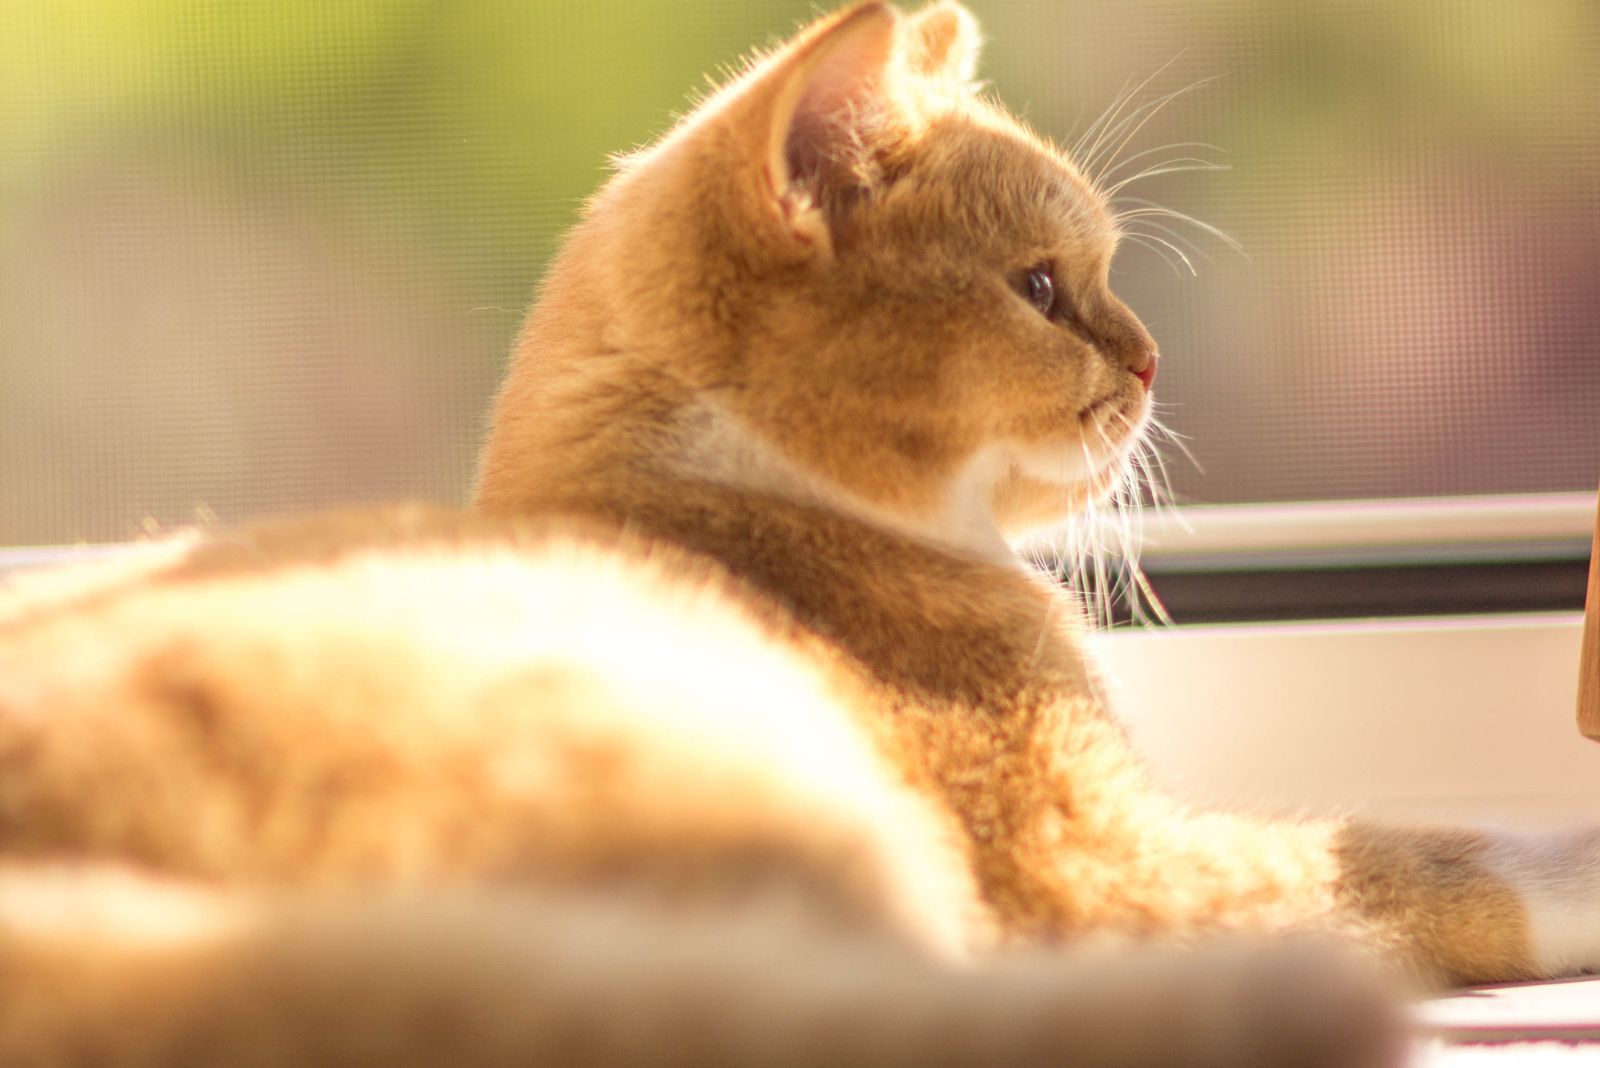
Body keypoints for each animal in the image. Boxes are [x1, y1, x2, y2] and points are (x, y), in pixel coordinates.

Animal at [3, 4, 1600, 1061]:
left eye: (1093, 280)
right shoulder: (1098, 863)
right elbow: (1414, 857)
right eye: (1041, 286)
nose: (1151, 361)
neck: (746, 502)